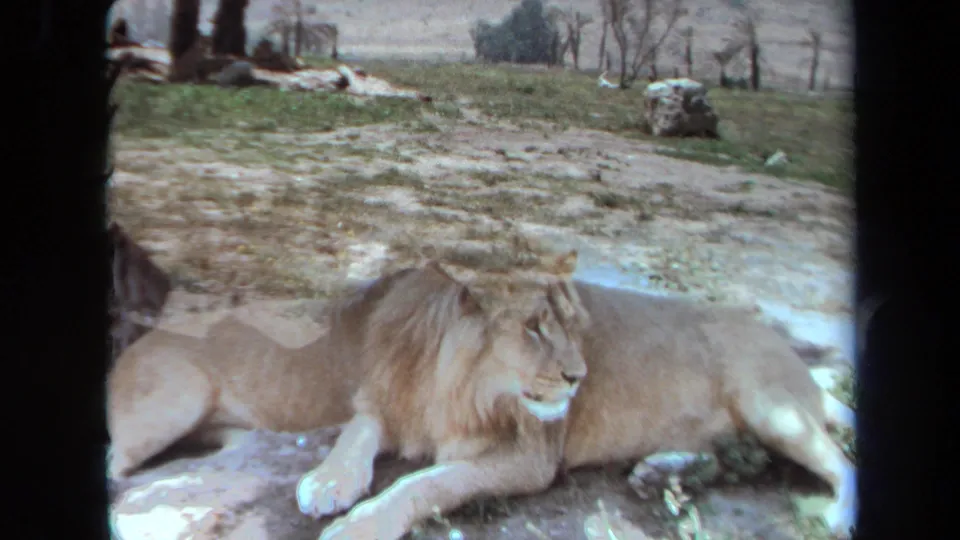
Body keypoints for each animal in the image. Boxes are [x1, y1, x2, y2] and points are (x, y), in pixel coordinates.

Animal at [294, 251, 856, 540]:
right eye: (534, 327)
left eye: (573, 324)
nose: (579, 377)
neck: (448, 379)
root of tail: (797, 360)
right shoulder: (389, 400)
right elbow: (354, 435)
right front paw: (327, 481)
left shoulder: (530, 459)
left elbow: (427, 482)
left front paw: (361, 525)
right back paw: (659, 471)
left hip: (770, 405)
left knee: (839, 460)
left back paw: (839, 516)